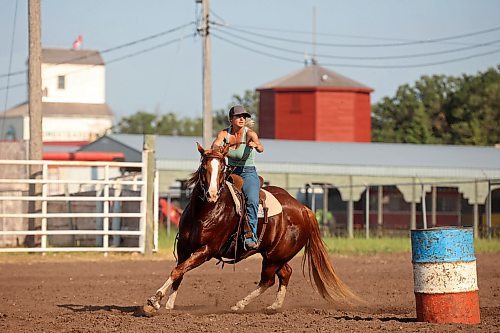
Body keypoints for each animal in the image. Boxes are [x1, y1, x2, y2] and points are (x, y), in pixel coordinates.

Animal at [141, 143, 356, 314]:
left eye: (223, 168)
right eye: (203, 167)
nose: (211, 194)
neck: (205, 211)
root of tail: (303, 209)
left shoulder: (206, 250)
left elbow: (177, 271)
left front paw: (154, 299)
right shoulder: (184, 247)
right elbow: (179, 272)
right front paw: (168, 304)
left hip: (274, 256)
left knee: (267, 281)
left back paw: (239, 305)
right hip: (274, 255)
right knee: (285, 273)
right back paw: (274, 306)